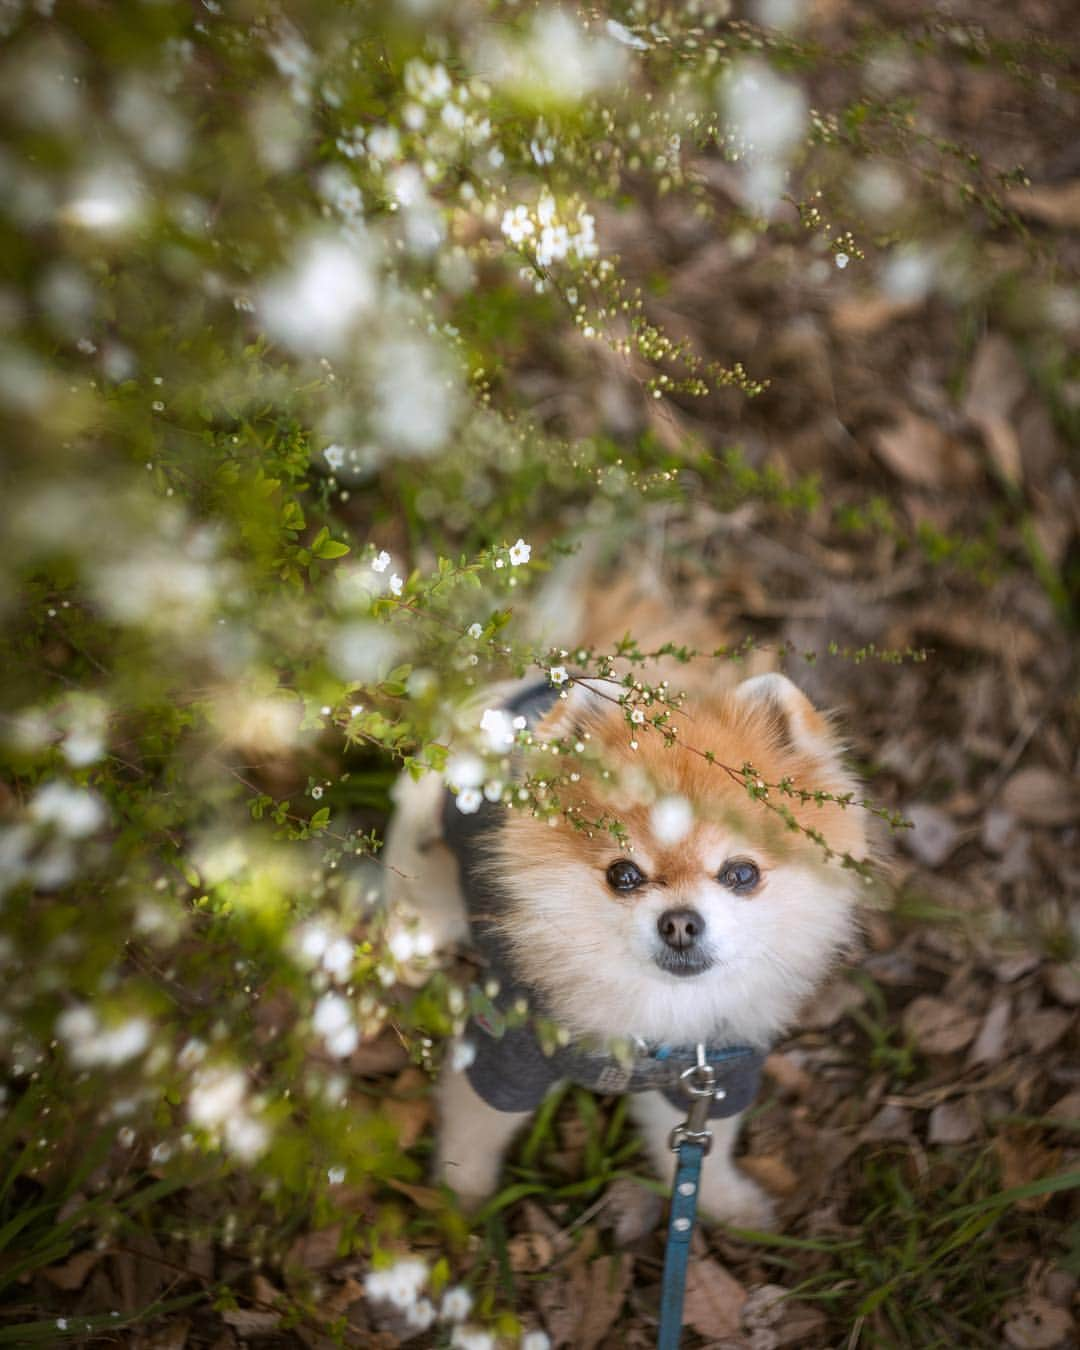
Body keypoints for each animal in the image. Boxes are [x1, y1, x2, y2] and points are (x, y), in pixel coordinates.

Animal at [383, 569, 864, 1225]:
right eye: (624, 875)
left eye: (741, 874)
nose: (681, 923)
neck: (658, 1011)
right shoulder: (505, 1052)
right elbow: (473, 1132)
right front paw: (462, 1207)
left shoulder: (711, 1076)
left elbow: (702, 1151)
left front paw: (725, 1207)